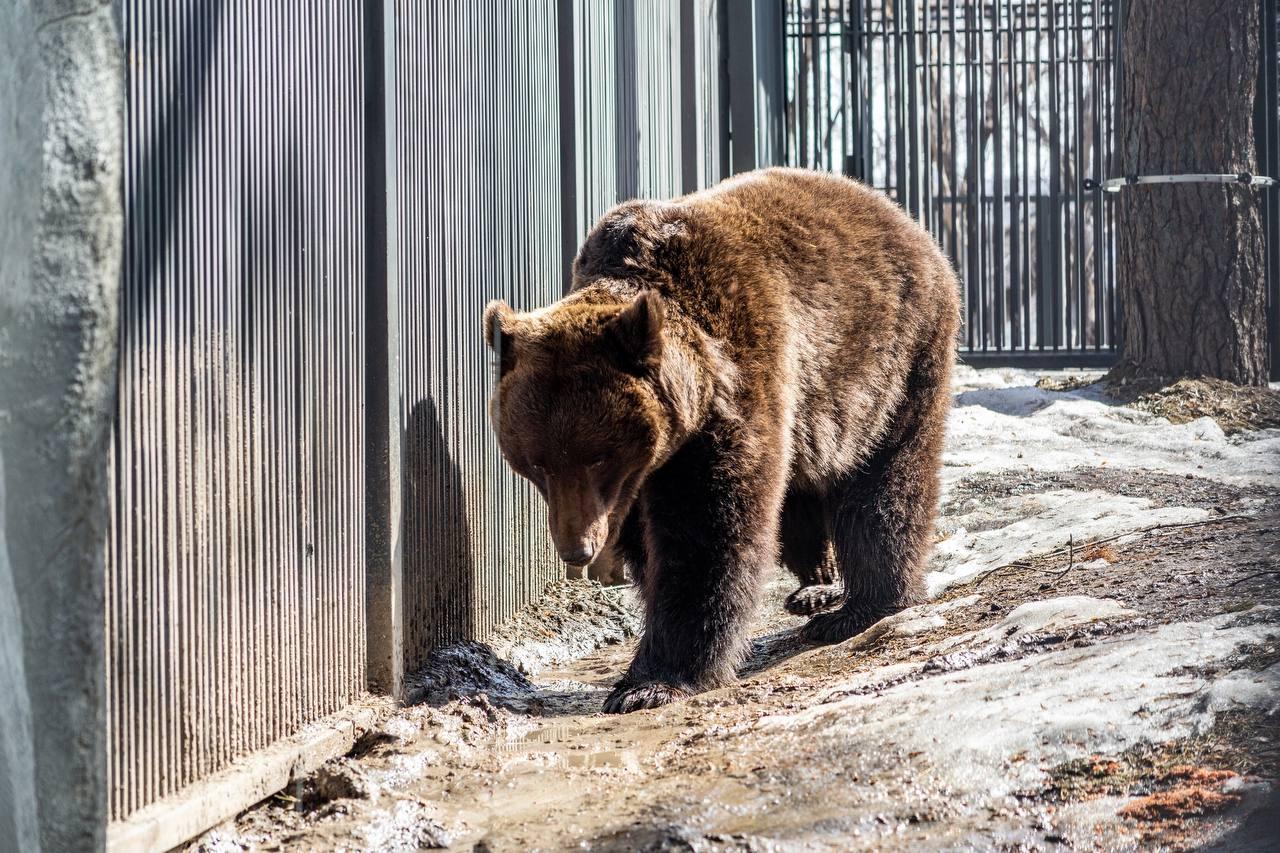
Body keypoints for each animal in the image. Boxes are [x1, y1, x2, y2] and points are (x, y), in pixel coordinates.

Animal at [483, 166, 957, 712]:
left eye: (598, 457)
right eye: (536, 464)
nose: (577, 550)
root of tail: (900, 215)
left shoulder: (737, 388)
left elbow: (708, 533)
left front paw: (651, 682)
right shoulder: (643, 474)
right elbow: (652, 544)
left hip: (894, 362)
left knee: (886, 480)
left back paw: (863, 605)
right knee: (802, 496)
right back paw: (818, 584)